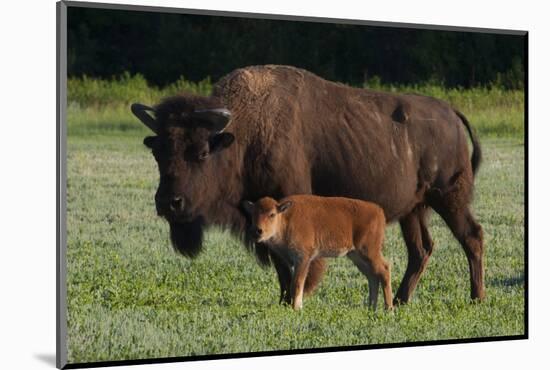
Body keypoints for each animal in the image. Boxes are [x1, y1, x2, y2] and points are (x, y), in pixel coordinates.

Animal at [245, 195, 392, 310]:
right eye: (253, 214)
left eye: (272, 214)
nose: (257, 231)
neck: (285, 219)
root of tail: (379, 211)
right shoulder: (292, 262)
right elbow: (292, 283)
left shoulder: (303, 258)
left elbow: (297, 284)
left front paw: (296, 308)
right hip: (357, 256)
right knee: (372, 277)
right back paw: (371, 308)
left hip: (369, 252)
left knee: (384, 270)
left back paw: (388, 309)